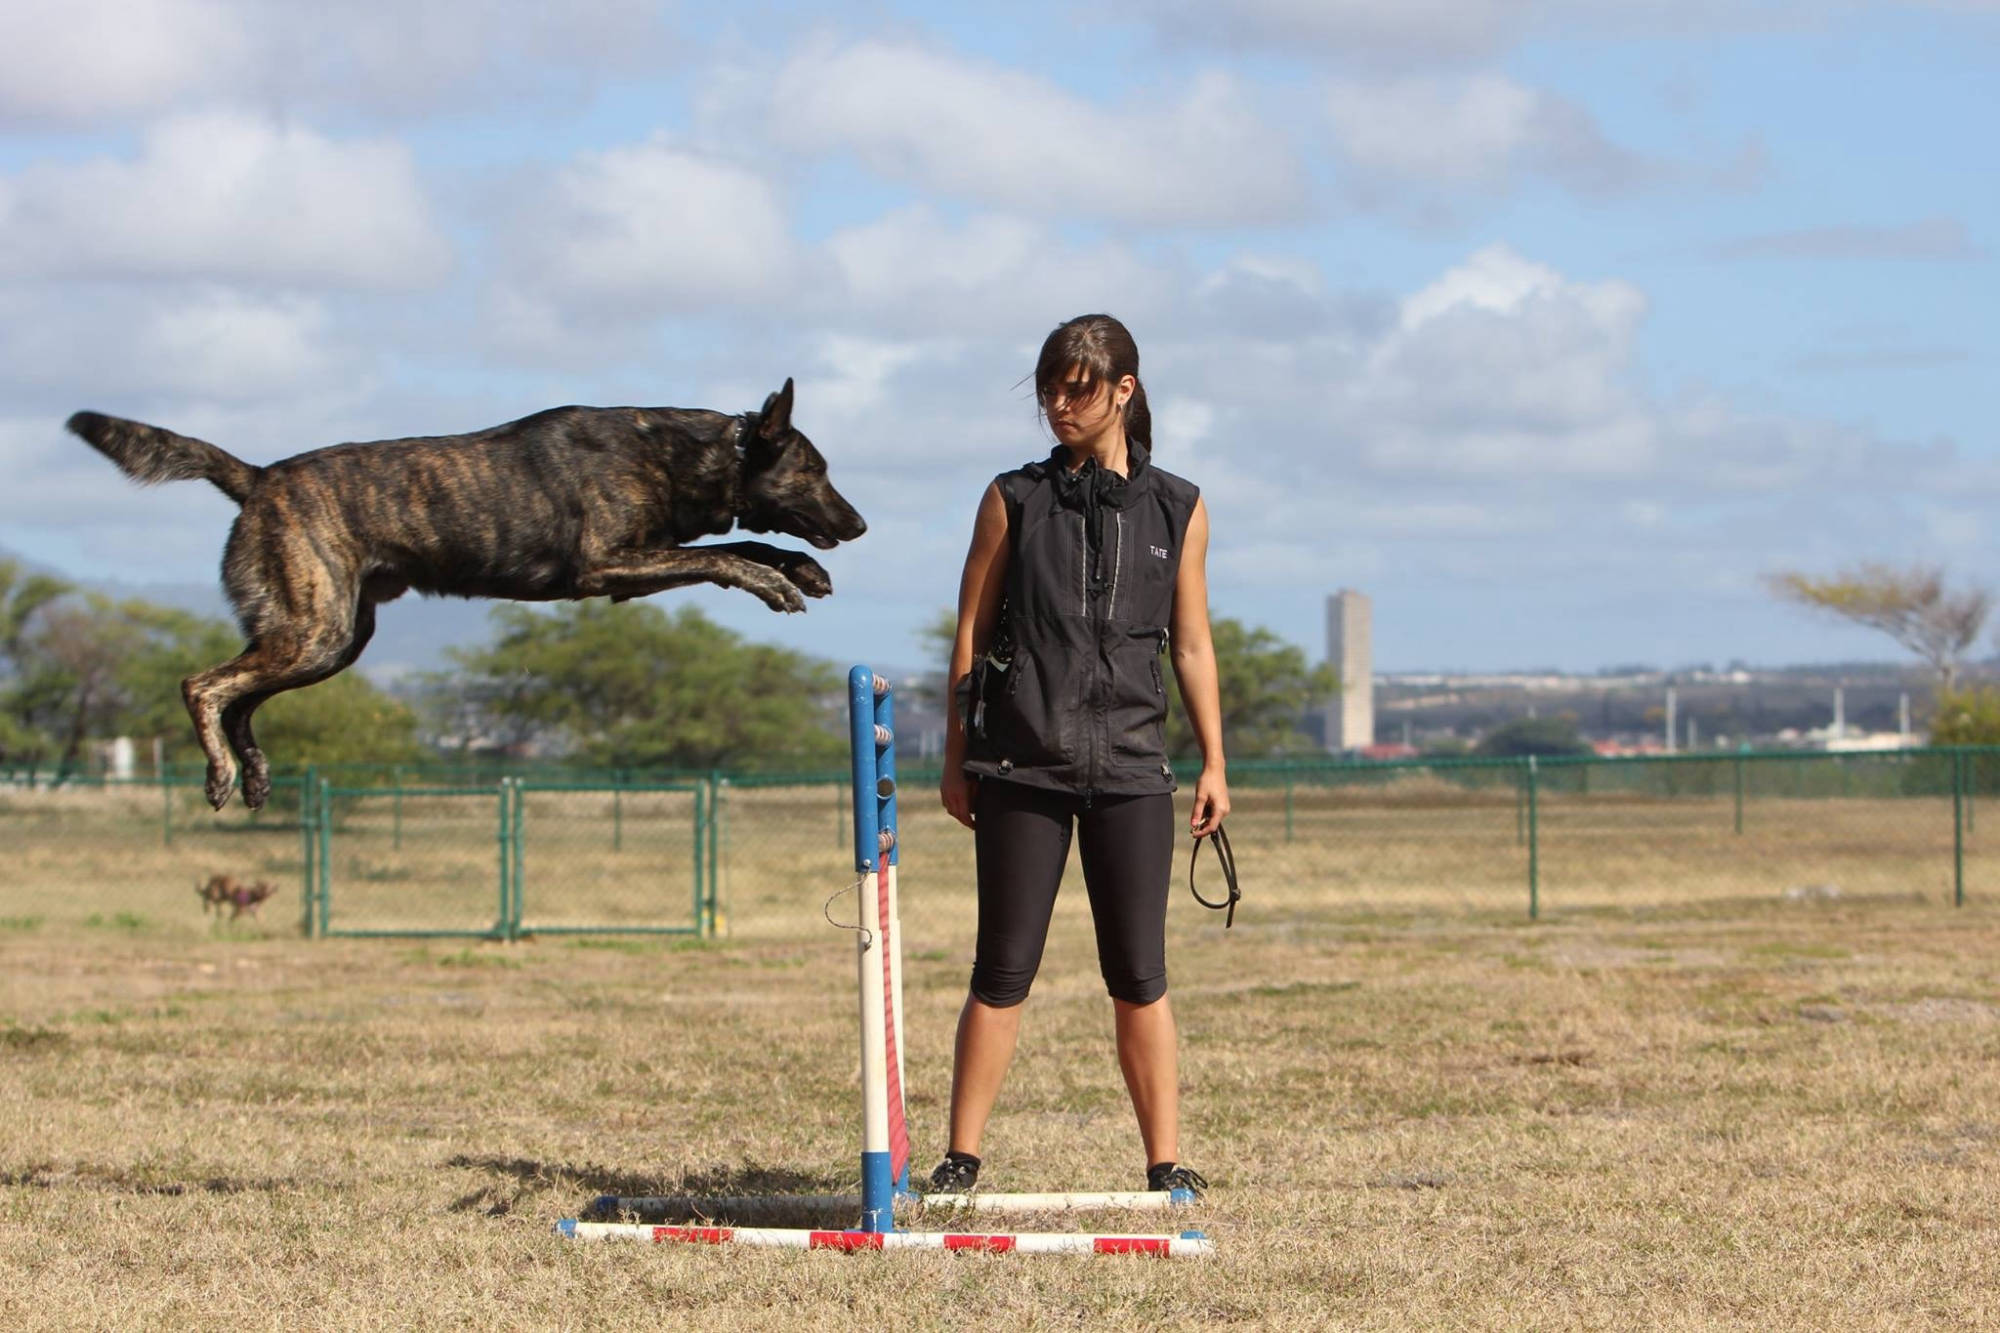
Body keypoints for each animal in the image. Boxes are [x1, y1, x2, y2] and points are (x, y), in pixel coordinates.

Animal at [68, 376, 868, 808]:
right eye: (815, 471)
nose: (858, 525)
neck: (685, 453)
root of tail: (257, 475)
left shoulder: (642, 556)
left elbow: (742, 542)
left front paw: (797, 568)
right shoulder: (608, 566)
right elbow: (725, 555)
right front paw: (774, 582)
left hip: (331, 641)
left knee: (241, 697)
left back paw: (254, 776)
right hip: (316, 633)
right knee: (202, 684)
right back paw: (220, 776)